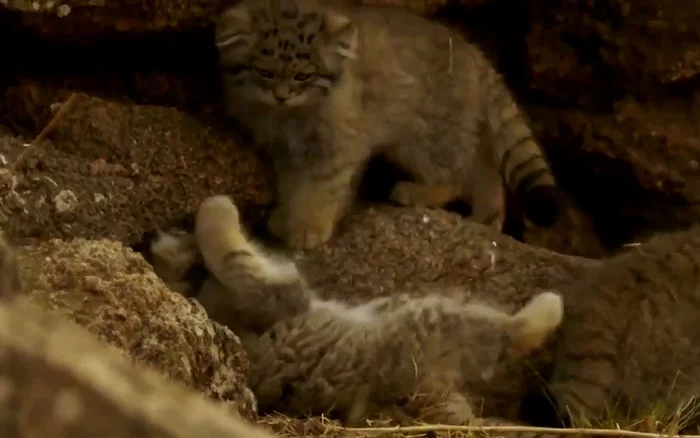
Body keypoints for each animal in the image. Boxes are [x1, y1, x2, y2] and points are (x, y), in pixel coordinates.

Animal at [149, 194, 564, 424]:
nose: (155, 234)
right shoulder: (269, 290)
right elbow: (223, 239)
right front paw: (217, 207)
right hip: (432, 323)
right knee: (512, 333)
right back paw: (549, 305)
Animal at [216, 0, 560, 250]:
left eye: (304, 75)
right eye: (264, 72)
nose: (282, 96)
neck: (289, 116)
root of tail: (472, 53)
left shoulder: (337, 145)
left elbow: (321, 189)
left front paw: (307, 228)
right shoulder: (286, 150)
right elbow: (292, 186)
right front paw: (286, 218)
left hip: (426, 137)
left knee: (455, 177)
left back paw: (417, 193)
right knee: (485, 169)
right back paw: (486, 219)